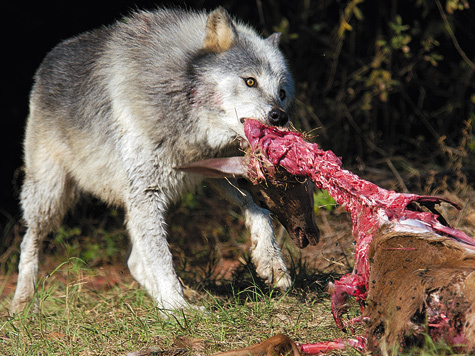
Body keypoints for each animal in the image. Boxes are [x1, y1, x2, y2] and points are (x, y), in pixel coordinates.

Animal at [12, 6, 298, 312]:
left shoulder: (212, 172)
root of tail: (50, 58)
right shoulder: (147, 190)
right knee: (29, 241)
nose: (279, 116)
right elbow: (162, 259)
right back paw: (22, 303)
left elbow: (259, 209)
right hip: (52, 196)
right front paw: (179, 309)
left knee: (134, 262)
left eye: (282, 93)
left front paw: (272, 262)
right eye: (250, 81)